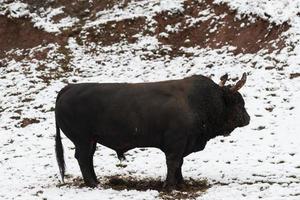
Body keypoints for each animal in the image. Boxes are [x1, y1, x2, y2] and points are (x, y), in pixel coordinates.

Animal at [55, 72, 250, 188]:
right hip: (82, 140)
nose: (247, 118)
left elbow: (179, 164)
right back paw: (93, 184)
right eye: (238, 101)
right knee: (83, 159)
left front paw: (180, 183)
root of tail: (69, 87)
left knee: (88, 159)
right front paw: (170, 186)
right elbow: (173, 163)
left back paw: (96, 181)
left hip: (91, 140)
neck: (199, 102)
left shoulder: (181, 145)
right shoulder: (176, 143)